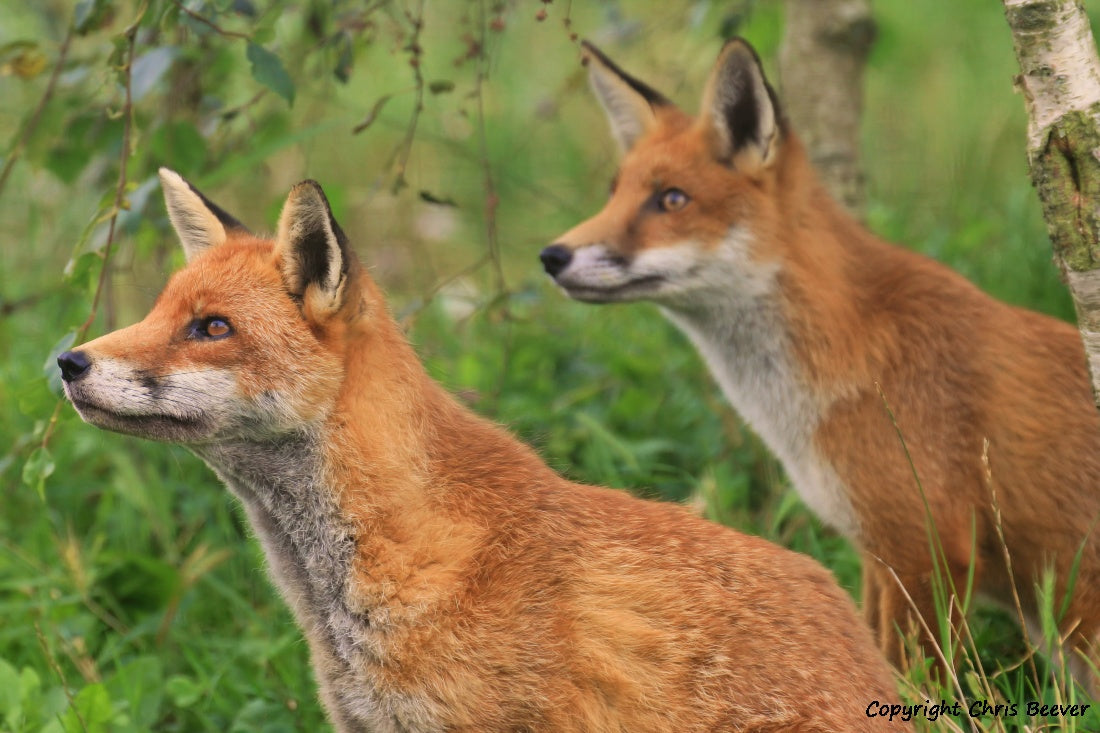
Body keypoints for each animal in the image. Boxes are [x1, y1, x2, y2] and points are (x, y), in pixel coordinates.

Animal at [541, 39, 1100, 691]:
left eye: (671, 199)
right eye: (615, 193)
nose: (552, 256)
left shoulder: (928, 546)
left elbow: (917, 681)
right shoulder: (877, 553)